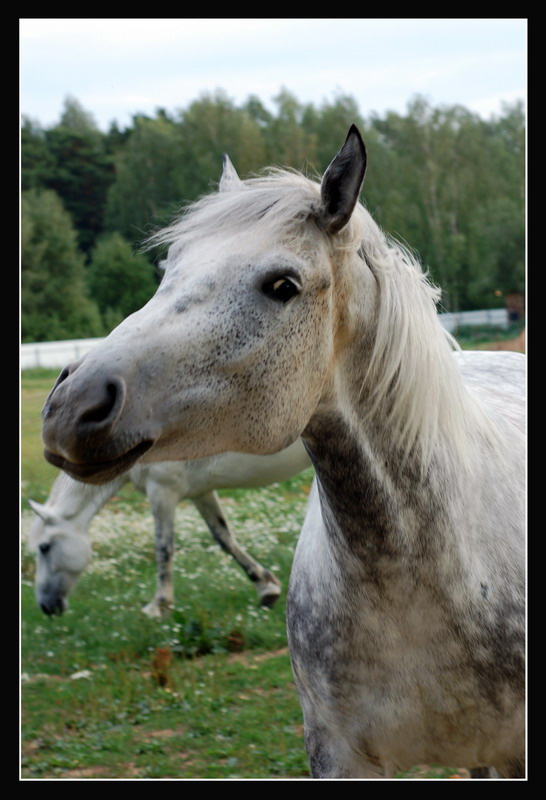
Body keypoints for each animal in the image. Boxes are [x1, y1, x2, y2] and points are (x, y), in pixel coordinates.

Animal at [28, 441, 311, 617]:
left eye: (44, 547)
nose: (45, 606)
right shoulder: (201, 493)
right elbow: (224, 538)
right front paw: (266, 587)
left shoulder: (162, 492)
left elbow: (163, 549)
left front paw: (159, 606)